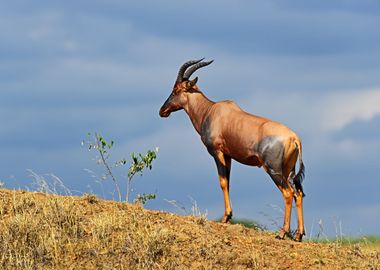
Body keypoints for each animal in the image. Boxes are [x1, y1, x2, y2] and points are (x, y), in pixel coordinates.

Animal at [160, 58, 306, 240]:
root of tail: (294, 138)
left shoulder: (217, 153)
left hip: (274, 170)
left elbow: (222, 182)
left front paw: (225, 217)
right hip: (289, 170)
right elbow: (228, 183)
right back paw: (299, 235)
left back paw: (282, 233)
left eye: (176, 90)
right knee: (298, 193)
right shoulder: (228, 156)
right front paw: (228, 216)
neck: (211, 111)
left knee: (288, 193)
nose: (162, 111)